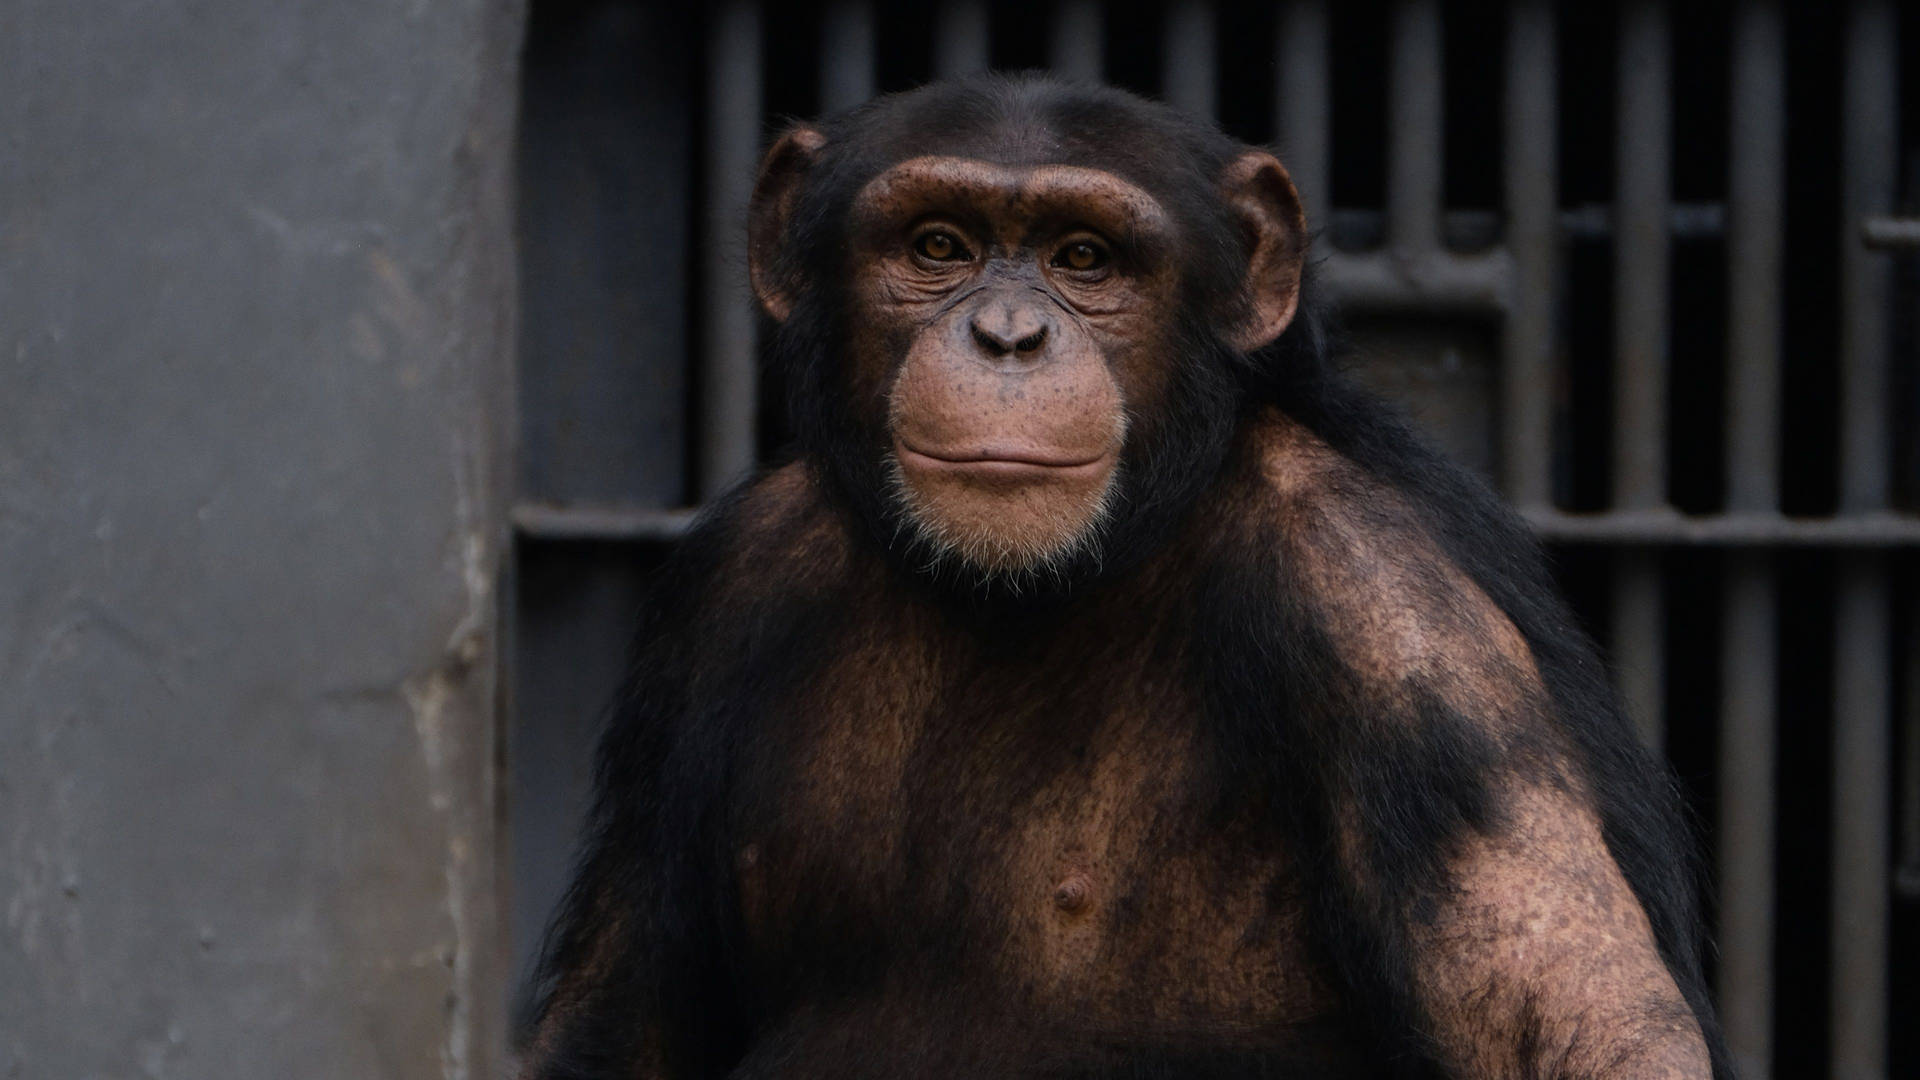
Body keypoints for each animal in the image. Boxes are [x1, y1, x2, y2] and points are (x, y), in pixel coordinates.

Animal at [520, 74, 1730, 1080]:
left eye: (1085, 259)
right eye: (937, 245)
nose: (1009, 336)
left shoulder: (1396, 622)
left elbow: (1573, 1013)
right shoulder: (720, 588)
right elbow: (620, 1029)